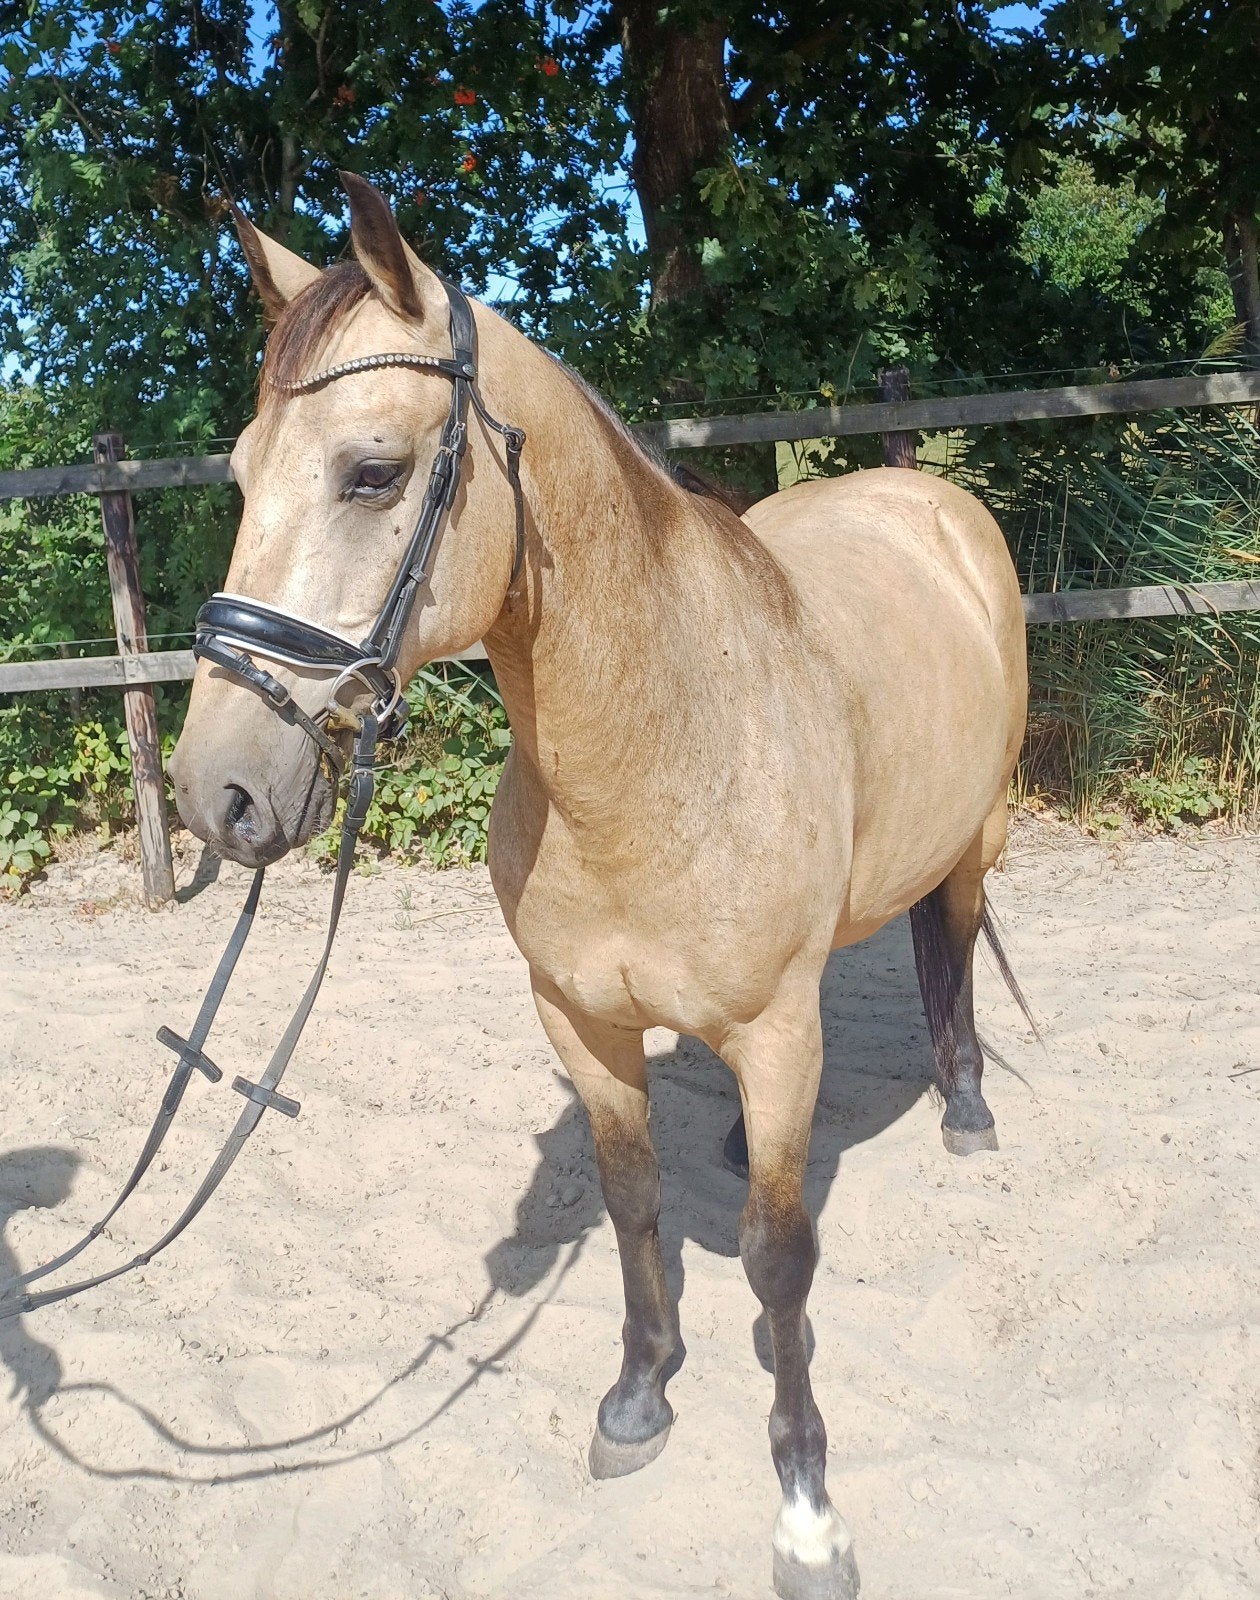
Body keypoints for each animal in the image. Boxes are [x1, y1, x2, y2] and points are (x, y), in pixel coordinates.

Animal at [168, 173, 1029, 1600]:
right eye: (237, 477)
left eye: (371, 471)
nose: (216, 792)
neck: (660, 742)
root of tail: (924, 497)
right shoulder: (581, 1021)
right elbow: (636, 1208)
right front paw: (639, 1398)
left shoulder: (776, 1025)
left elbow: (781, 1259)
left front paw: (808, 1512)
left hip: (979, 832)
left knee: (950, 943)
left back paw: (965, 1110)